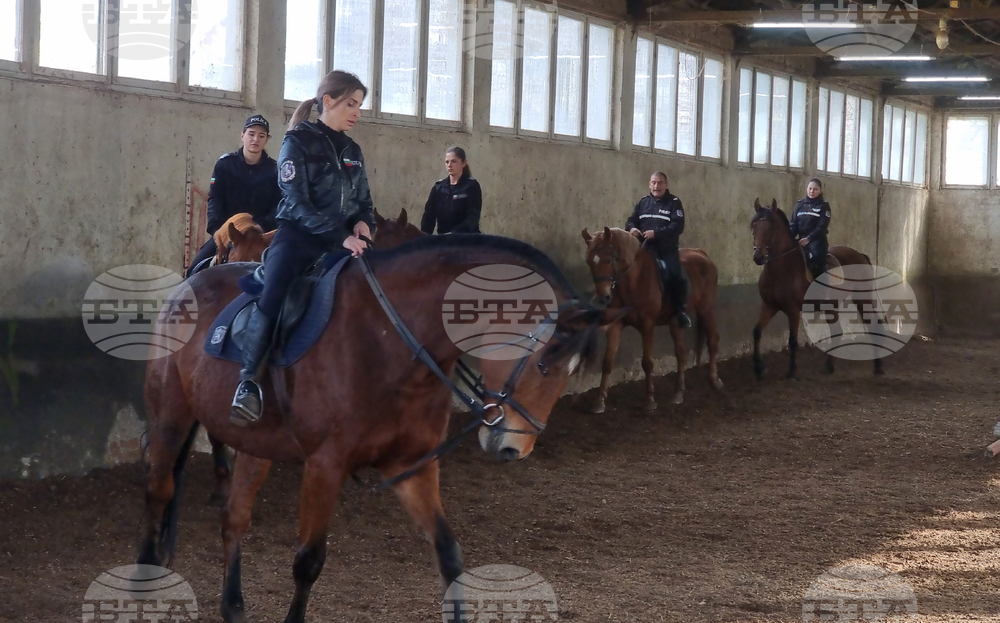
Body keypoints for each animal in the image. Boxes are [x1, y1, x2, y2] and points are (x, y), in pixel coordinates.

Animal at [139, 234, 622, 623]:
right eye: (544, 363)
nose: (513, 449)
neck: (389, 339)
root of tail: (188, 283)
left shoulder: (410, 466)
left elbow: (449, 553)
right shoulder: (325, 465)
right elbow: (308, 562)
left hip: (256, 445)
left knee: (234, 516)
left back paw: (233, 607)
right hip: (170, 417)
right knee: (159, 492)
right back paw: (143, 581)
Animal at [582, 227, 722, 411]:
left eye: (608, 259)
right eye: (589, 262)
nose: (602, 298)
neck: (634, 280)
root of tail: (702, 254)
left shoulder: (647, 325)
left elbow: (647, 363)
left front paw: (649, 400)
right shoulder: (615, 325)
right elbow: (607, 362)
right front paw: (599, 401)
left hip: (706, 309)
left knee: (712, 340)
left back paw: (714, 381)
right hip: (675, 321)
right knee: (681, 353)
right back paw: (678, 393)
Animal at [750, 198, 884, 379]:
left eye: (770, 227)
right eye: (754, 226)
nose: (758, 257)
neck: (782, 268)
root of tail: (860, 255)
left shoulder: (793, 310)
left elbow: (792, 341)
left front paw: (792, 371)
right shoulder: (769, 306)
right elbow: (757, 332)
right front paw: (759, 368)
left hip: (862, 298)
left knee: (873, 325)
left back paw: (878, 367)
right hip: (832, 306)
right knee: (837, 331)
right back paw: (829, 366)